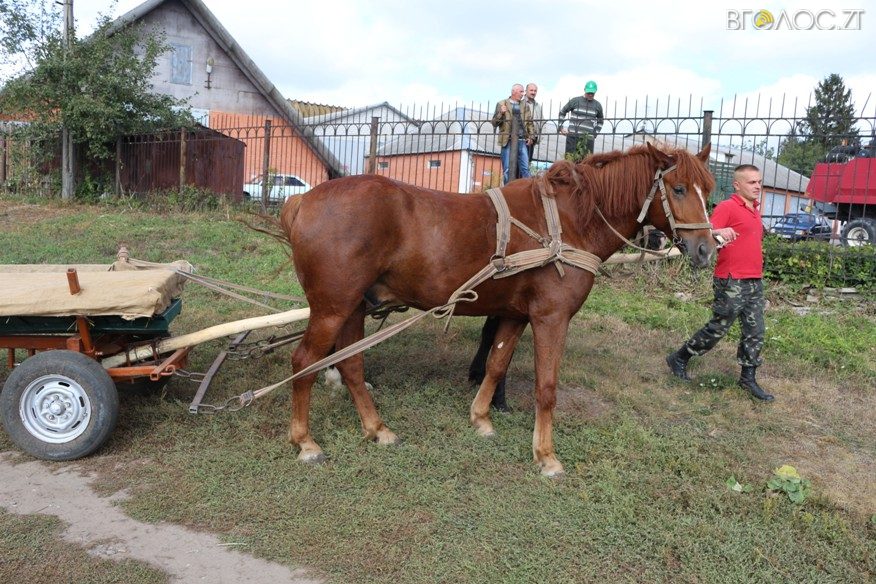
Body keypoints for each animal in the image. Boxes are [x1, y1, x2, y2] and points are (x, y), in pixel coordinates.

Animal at [280, 144, 720, 476]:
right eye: (679, 189)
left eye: (708, 190)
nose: (706, 250)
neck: (567, 221)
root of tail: (304, 200)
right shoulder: (550, 318)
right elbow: (546, 387)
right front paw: (546, 455)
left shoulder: (515, 314)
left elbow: (495, 365)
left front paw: (481, 418)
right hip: (332, 308)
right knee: (304, 362)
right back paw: (305, 441)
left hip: (352, 307)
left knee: (351, 365)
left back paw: (376, 428)